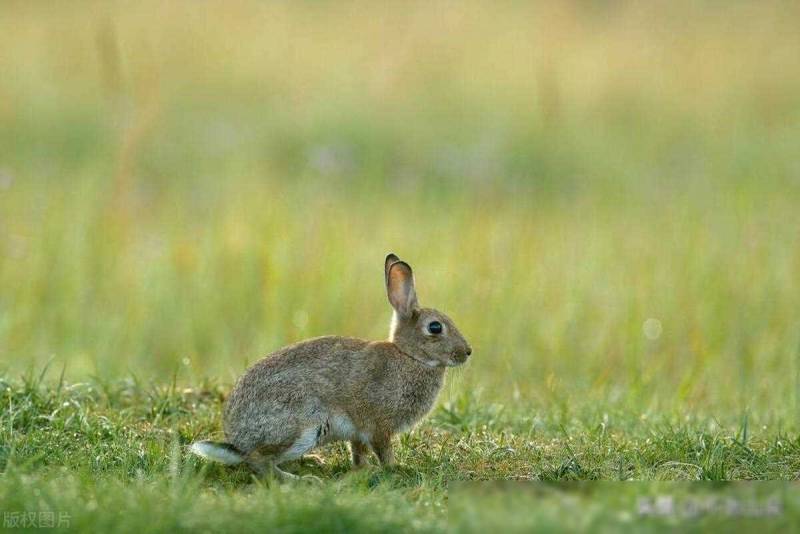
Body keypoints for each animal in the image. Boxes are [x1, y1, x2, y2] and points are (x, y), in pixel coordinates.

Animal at [191, 252, 472, 482]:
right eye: (435, 327)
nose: (467, 352)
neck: (409, 356)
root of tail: (236, 442)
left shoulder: (358, 431)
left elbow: (358, 451)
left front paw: (363, 469)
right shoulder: (378, 424)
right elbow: (383, 449)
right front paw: (396, 468)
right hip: (303, 423)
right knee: (259, 461)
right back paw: (301, 479)